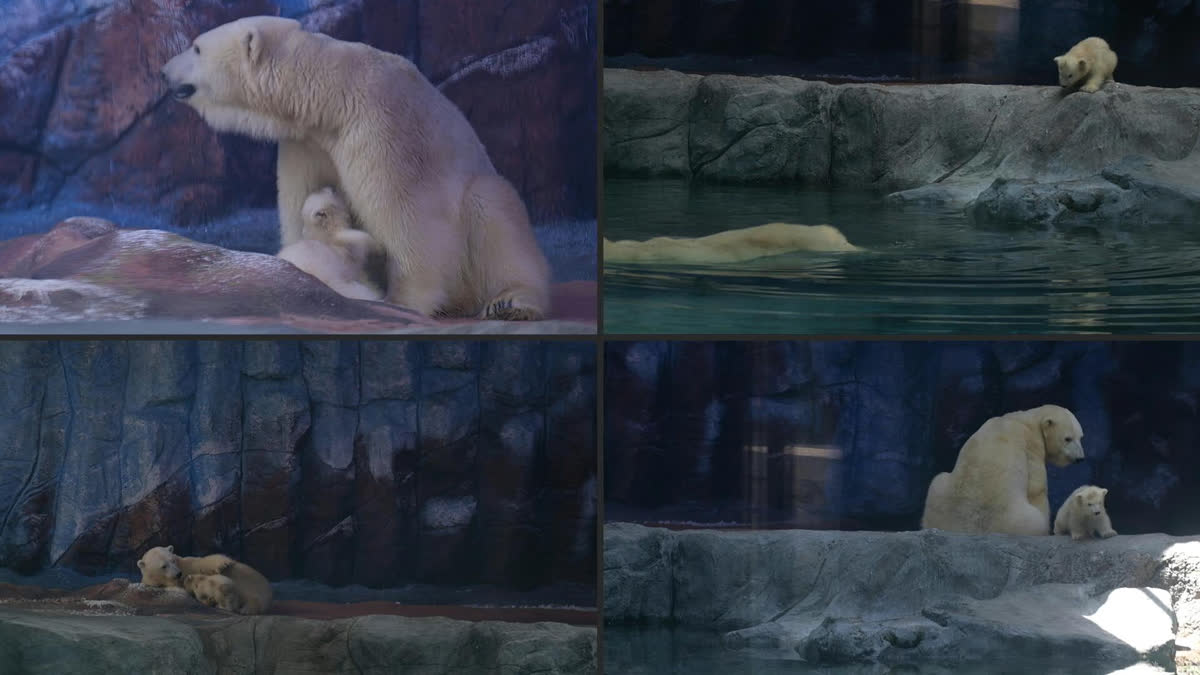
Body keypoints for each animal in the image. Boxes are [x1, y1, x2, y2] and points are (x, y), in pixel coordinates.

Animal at [137, 545, 273, 615]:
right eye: (164, 566)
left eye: (173, 560)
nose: (178, 574)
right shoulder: (155, 583)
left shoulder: (186, 565)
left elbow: (200, 562)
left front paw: (223, 563)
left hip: (252, 579)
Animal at [160, 16, 551, 320]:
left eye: (196, 47)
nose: (163, 72)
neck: (331, 94)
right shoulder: (307, 142)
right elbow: (299, 199)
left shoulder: (382, 125)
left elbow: (408, 214)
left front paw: (403, 301)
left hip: (481, 198)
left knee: (493, 211)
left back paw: (511, 301)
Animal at [920, 405, 1086, 535]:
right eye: (1068, 438)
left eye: (1081, 437)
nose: (1080, 458)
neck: (1024, 420)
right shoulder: (1031, 445)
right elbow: (1036, 488)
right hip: (1016, 519)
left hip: (940, 495)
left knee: (937, 481)